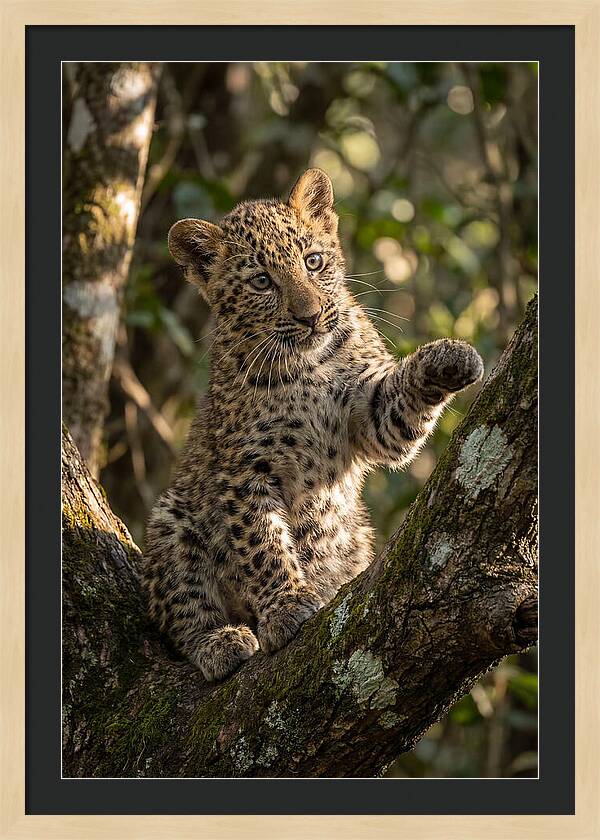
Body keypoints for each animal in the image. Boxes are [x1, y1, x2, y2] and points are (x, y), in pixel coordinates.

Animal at [143, 168, 484, 682]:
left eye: (314, 261)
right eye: (262, 281)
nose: (310, 316)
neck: (308, 367)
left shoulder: (369, 416)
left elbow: (397, 409)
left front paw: (450, 356)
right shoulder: (245, 470)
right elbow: (262, 543)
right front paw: (286, 607)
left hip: (356, 537)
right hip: (172, 519)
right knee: (180, 613)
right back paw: (220, 642)